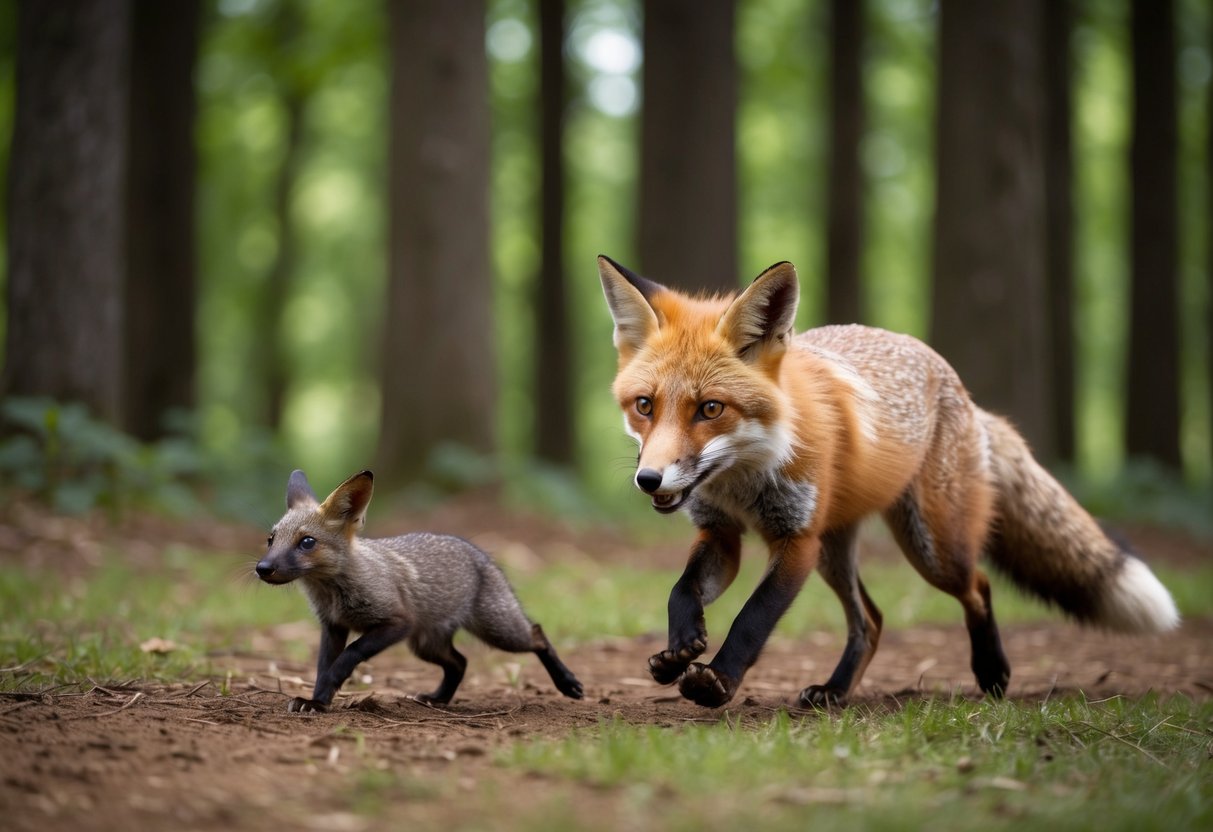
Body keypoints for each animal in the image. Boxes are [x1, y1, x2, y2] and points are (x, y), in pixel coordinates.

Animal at [255, 469, 584, 712]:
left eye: (307, 542)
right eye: (271, 539)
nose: (262, 568)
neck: (334, 594)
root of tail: (477, 551)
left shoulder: (398, 623)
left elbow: (347, 658)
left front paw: (324, 696)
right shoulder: (333, 626)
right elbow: (323, 669)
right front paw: (318, 701)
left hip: (499, 632)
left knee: (537, 634)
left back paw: (567, 683)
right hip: (426, 646)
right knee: (460, 662)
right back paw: (439, 699)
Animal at [598, 254, 1180, 709]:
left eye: (710, 409)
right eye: (645, 406)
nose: (649, 479)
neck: (742, 479)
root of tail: (963, 391)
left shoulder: (797, 539)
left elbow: (754, 619)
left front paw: (717, 681)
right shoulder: (722, 533)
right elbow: (682, 589)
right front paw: (680, 647)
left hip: (929, 547)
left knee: (978, 586)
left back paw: (992, 672)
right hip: (838, 551)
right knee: (873, 621)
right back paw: (834, 692)